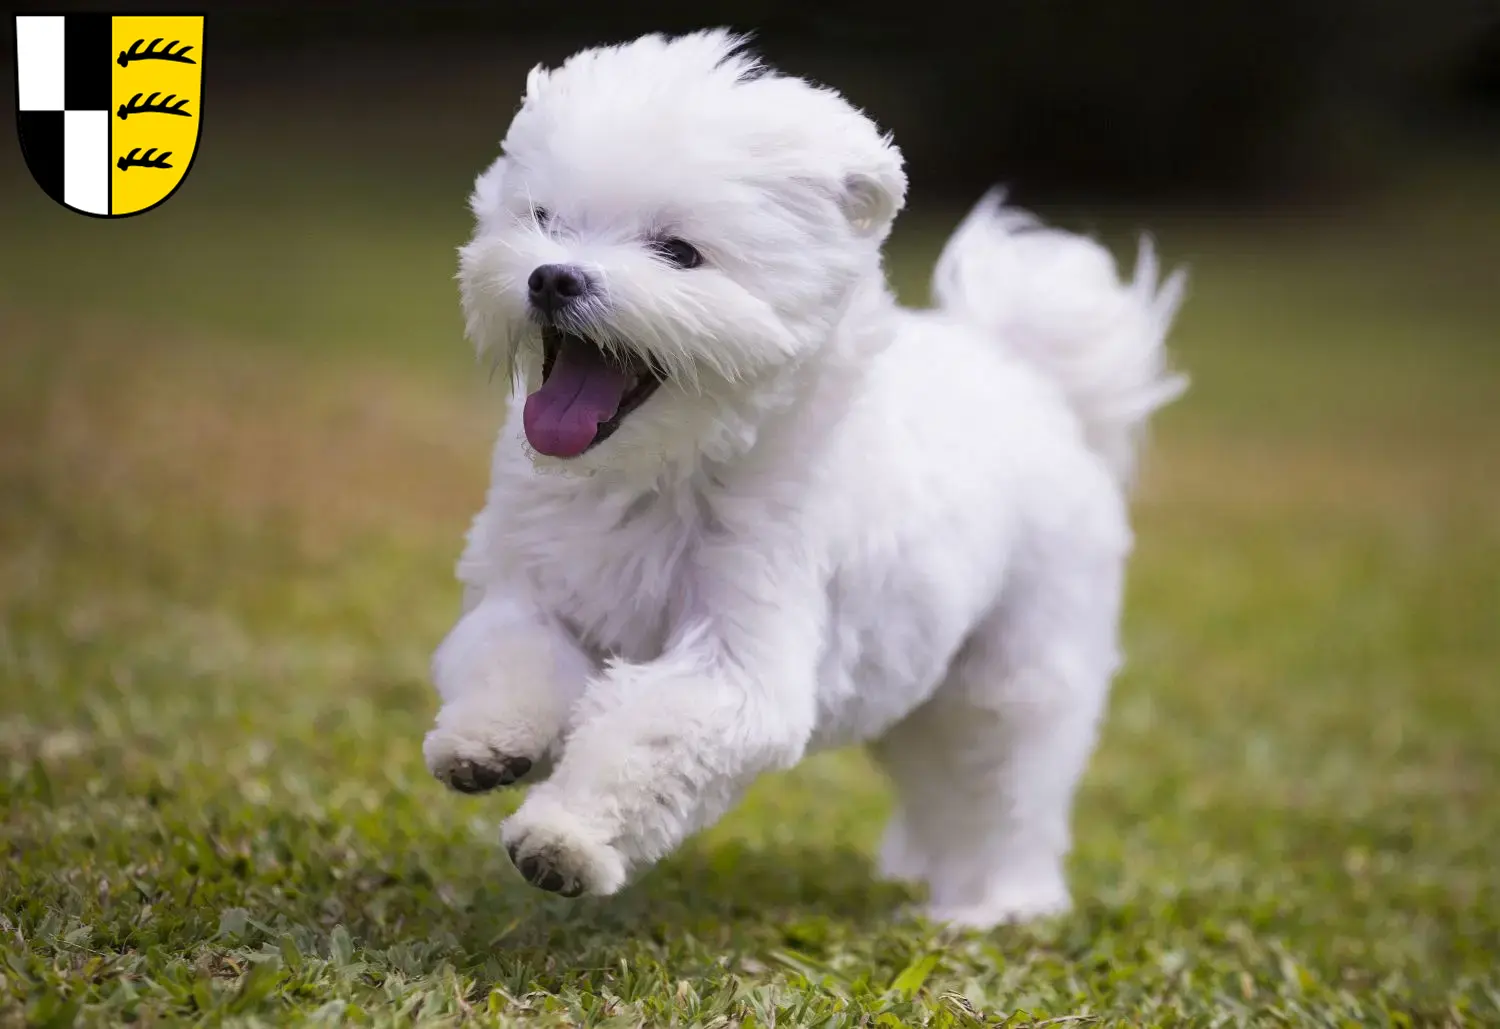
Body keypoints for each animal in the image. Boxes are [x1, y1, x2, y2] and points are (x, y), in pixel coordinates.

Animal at [423, 28, 1182, 930]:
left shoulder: (740, 655)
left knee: (1003, 788)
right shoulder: (532, 584)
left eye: (678, 251)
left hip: (1013, 673)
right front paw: (486, 742)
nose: (553, 277)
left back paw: (991, 906)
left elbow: (644, 736)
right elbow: (511, 656)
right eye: (544, 218)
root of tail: (1029, 375)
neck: (659, 472)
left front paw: (565, 839)